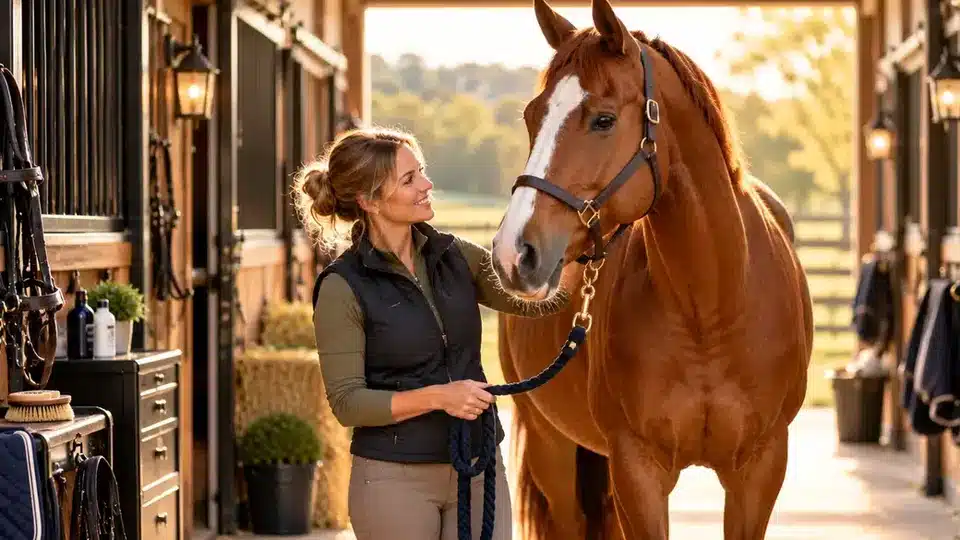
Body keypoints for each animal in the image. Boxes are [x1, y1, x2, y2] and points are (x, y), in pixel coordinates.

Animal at [489, 1, 814, 539]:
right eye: (533, 116)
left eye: (602, 119)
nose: (513, 253)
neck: (710, 308)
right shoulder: (636, 470)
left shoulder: (760, 470)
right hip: (550, 448)